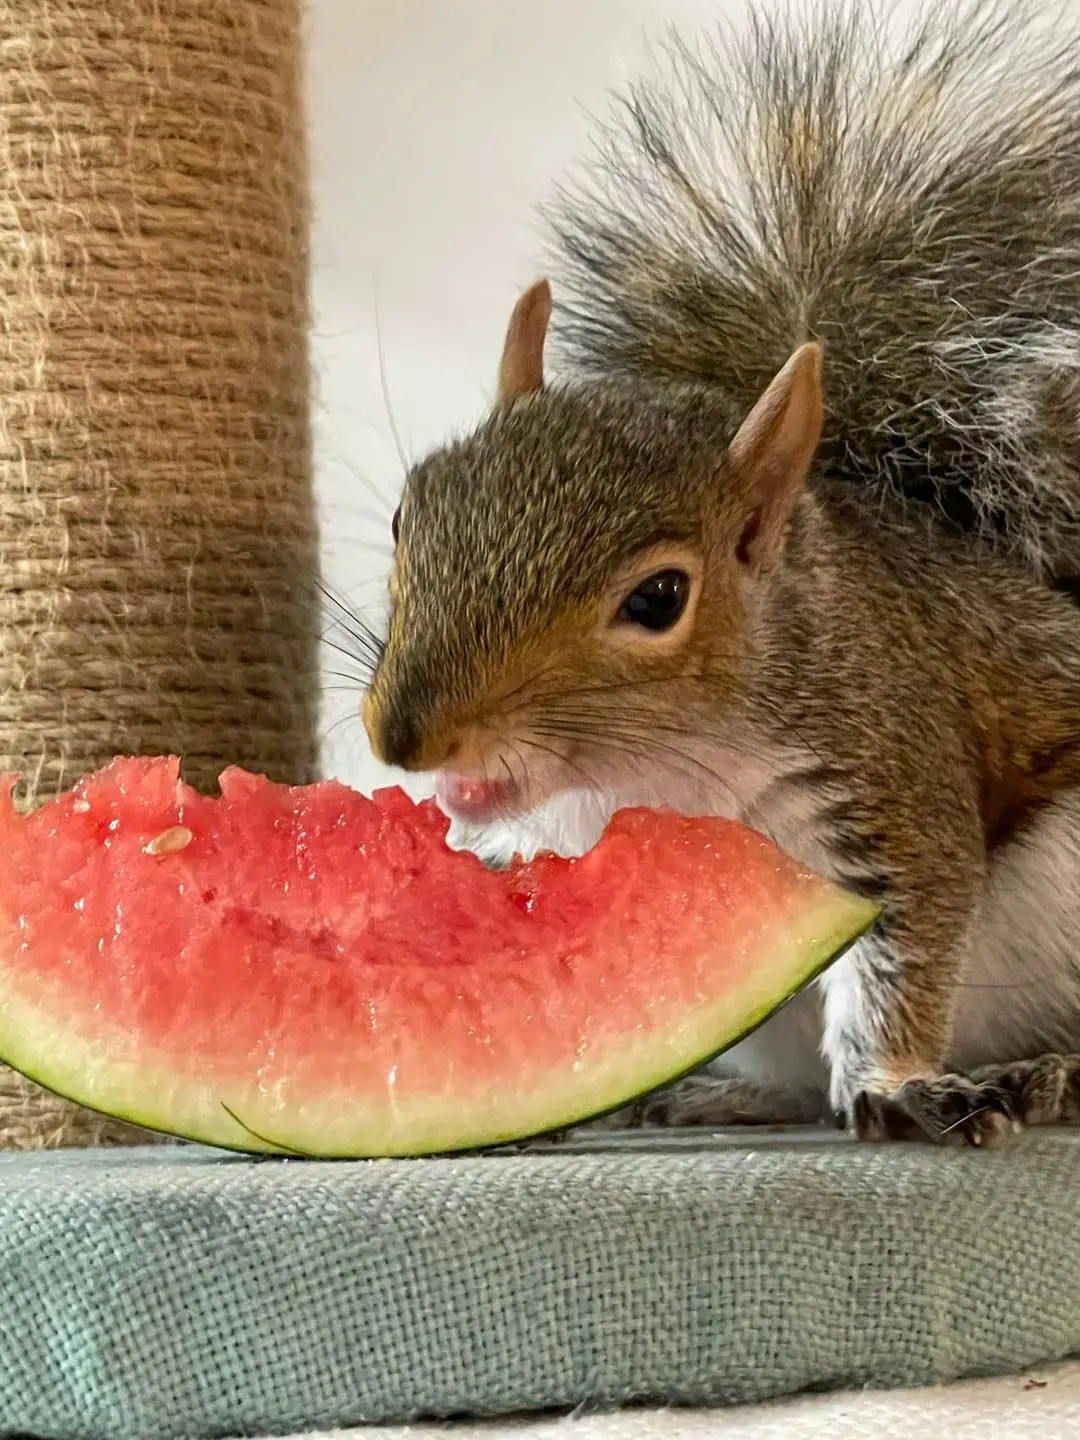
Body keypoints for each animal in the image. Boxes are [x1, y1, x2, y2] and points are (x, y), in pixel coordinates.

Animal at [361, 0, 1080, 1145]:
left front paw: (897, 1084)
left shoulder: (887, 770)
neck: (646, 773)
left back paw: (1048, 1075)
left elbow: (908, 946)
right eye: (410, 509)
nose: (404, 737)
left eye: (658, 599)